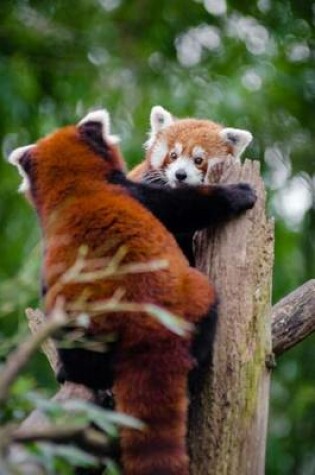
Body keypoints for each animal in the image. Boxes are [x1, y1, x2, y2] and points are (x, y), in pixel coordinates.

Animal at [8, 109, 256, 474]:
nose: (180, 175)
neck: (78, 189)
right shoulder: (143, 194)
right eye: (172, 155)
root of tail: (146, 329)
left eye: (199, 160)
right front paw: (238, 193)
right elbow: (184, 206)